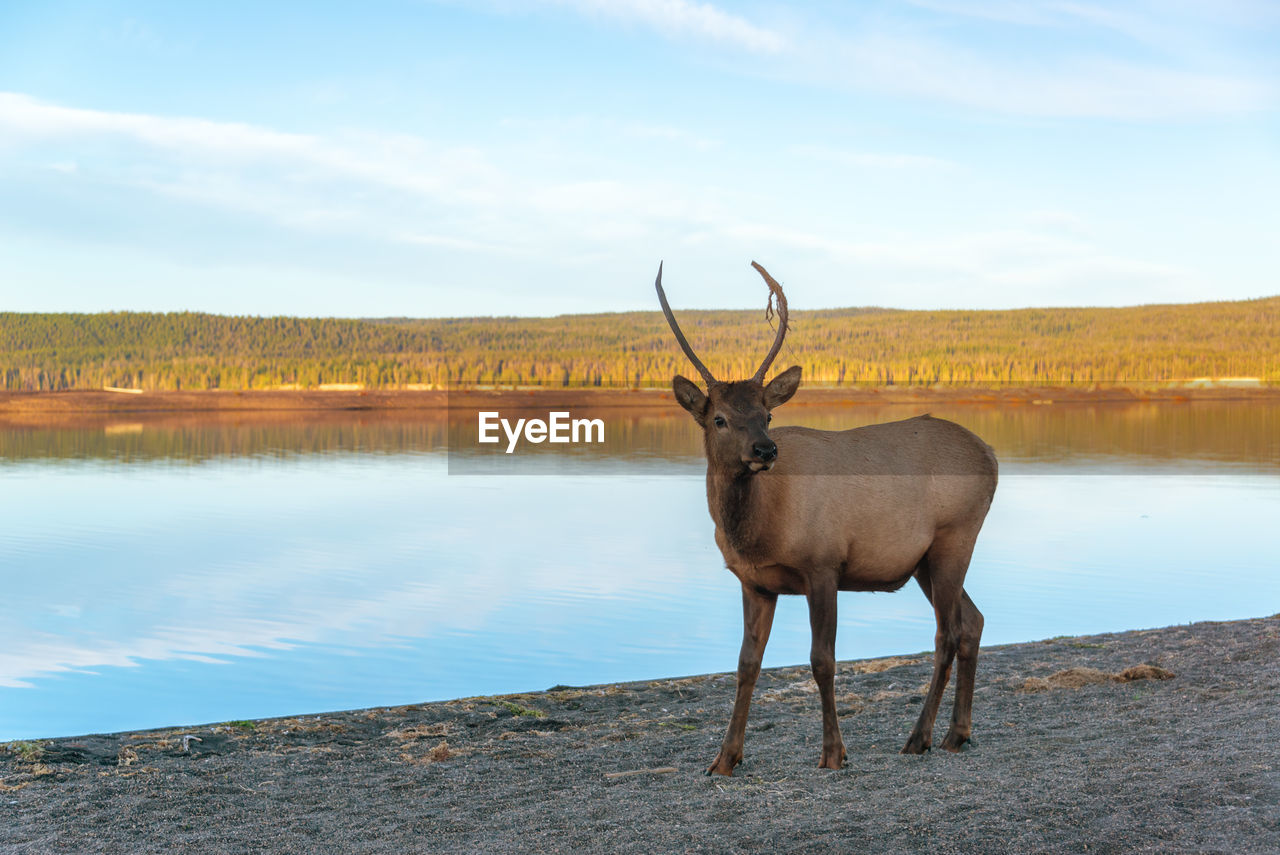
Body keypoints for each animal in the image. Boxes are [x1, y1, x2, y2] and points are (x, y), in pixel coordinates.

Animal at [660, 261, 998, 773]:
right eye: (719, 418)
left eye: (767, 415)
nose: (765, 450)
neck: (757, 531)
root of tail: (992, 455)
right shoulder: (755, 583)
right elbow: (745, 665)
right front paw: (725, 759)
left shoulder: (823, 564)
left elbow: (822, 660)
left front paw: (834, 752)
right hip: (924, 560)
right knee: (973, 622)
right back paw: (957, 734)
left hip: (954, 537)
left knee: (948, 632)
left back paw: (918, 737)